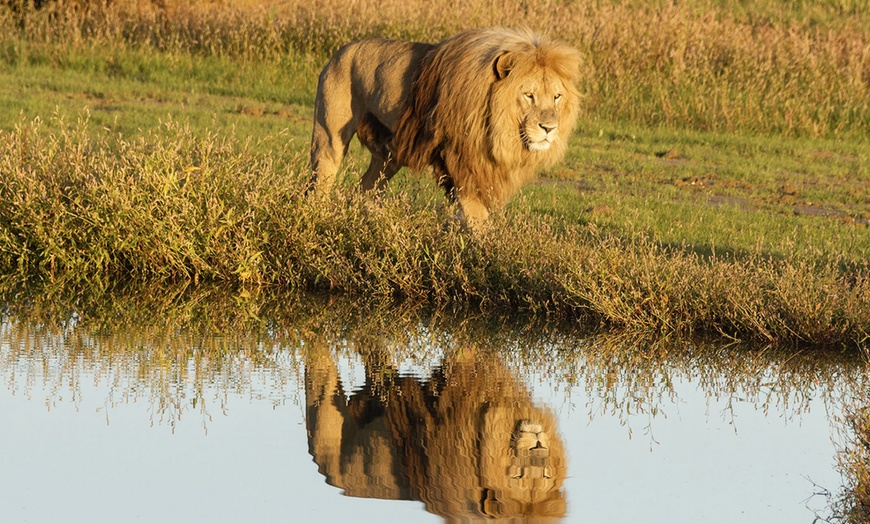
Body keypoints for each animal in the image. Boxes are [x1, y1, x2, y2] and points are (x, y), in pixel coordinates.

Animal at [310, 27, 584, 229]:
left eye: (557, 97)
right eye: (529, 96)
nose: (549, 128)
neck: (500, 131)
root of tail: (342, 49)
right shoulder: (462, 159)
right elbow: (476, 216)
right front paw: (486, 251)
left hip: (388, 154)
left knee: (366, 186)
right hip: (329, 136)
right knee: (319, 182)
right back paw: (319, 218)